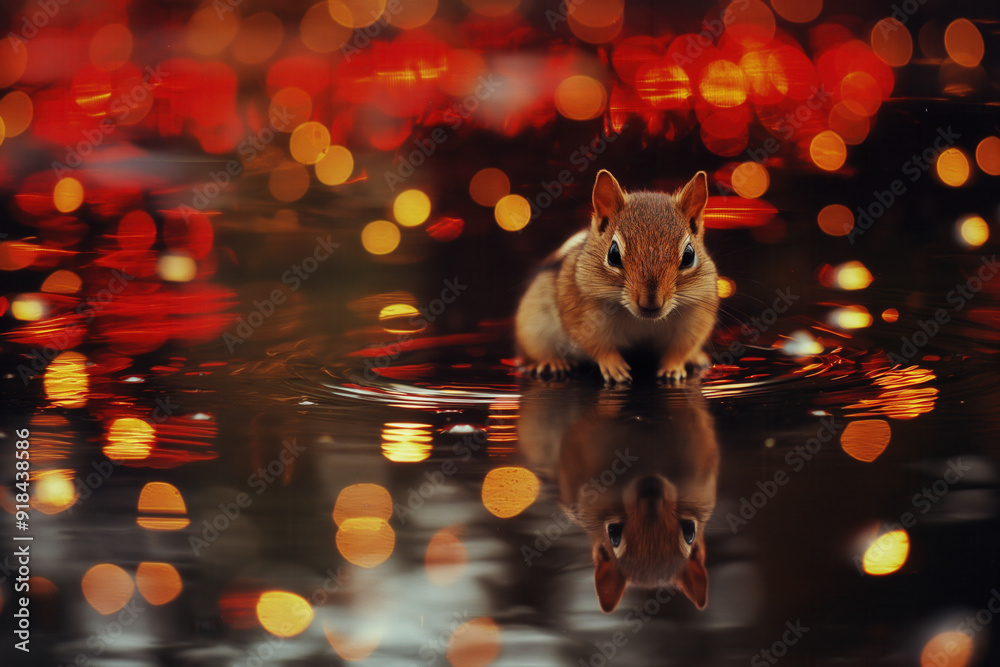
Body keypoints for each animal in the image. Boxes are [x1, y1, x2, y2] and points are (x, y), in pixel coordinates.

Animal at [515, 169, 718, 384]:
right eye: (613, 255)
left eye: (689, 256)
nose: (651, 303)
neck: (641, 321)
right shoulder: (582, 312)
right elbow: (598, 346)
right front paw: (614, 366)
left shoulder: (696, 316)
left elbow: (681, 348)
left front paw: (673, 367)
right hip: (531, 329)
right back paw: (551, 362)